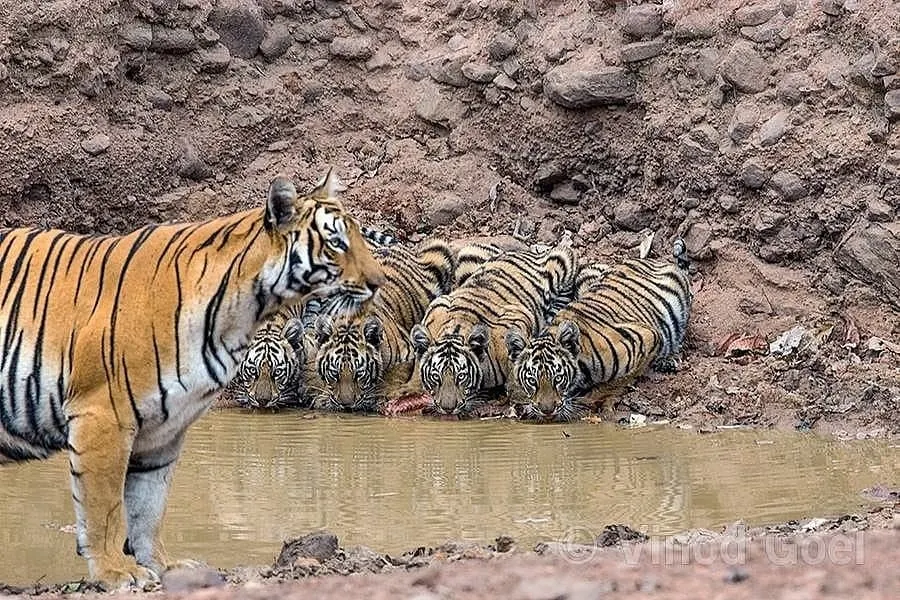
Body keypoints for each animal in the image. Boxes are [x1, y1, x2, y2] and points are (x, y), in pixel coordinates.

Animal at [0, 169, 384, 589]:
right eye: (336, 243)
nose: (379, 282)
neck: (242, 313)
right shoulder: (102, 414)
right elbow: (105, 508)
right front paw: (115, 571)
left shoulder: (164, 431)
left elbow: (148, 508)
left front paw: (163, 566)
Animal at [311, 239, 455, 412]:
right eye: (334, 373)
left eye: (359, 374)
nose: (346, 406)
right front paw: (323, 399)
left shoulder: (406, 352)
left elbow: (394, 374)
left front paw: (382, 394)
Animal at [409, 244, 578, 417]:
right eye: (436, 376)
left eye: (461, 376)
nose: (448, 409)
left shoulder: (517, 317)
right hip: (468, 254)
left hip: (562, 259)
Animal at [505, 239, 692, 422]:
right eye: (532, 381)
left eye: (558, 379)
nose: (547, 411)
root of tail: (654, 260)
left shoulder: (647, 338)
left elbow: (616, 382)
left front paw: (593, 400)